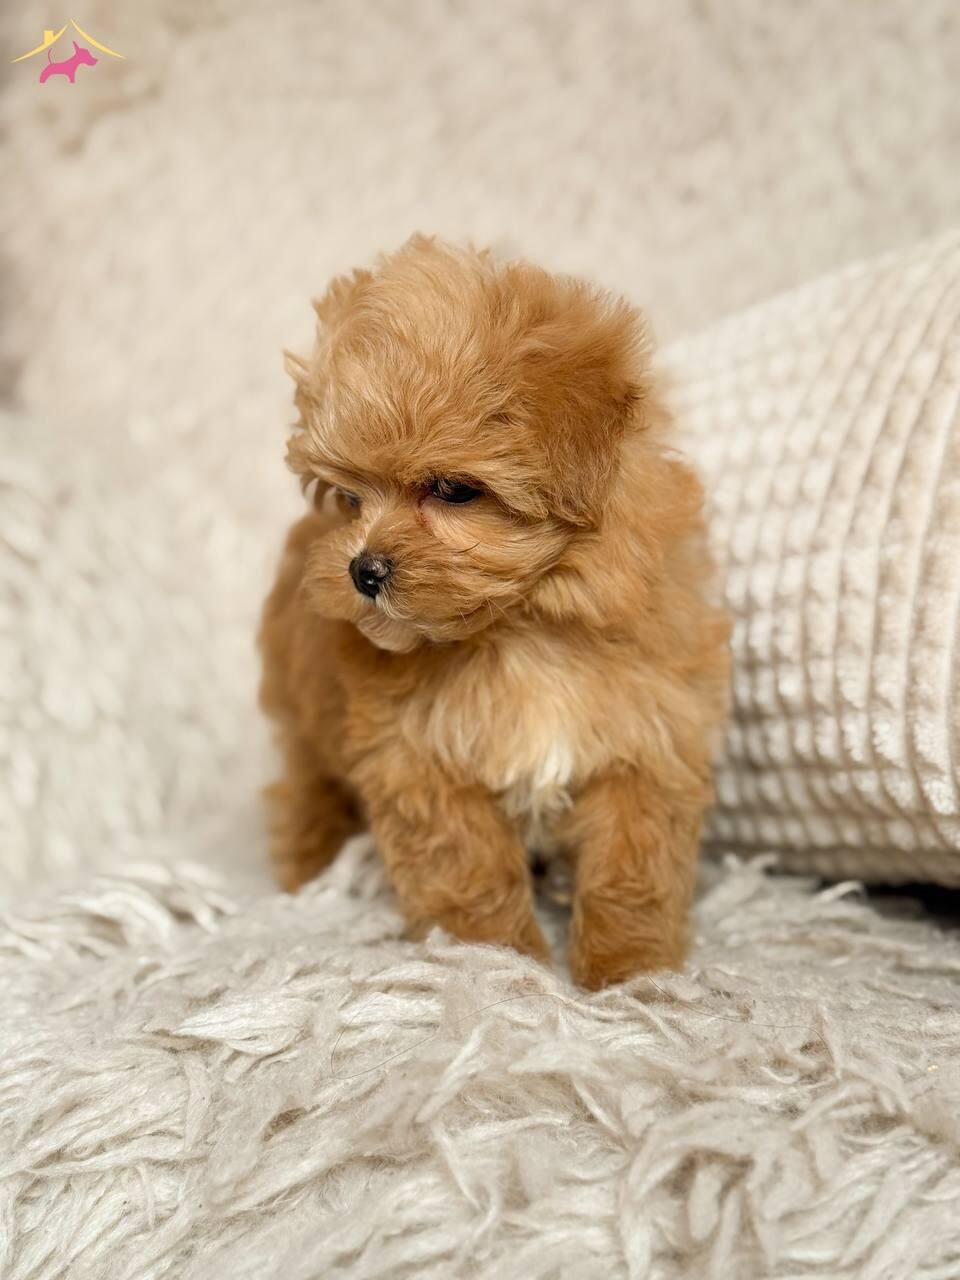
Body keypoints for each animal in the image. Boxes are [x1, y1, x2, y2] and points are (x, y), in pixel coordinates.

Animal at [259, 236, 729, 988]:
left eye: (453, 489)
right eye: (351, 500)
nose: (362, 570)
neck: (519, 629)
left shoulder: (648, 738)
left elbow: (632, 866)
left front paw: (631, 973)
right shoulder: (421, 760)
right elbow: (467, 867)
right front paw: (494, 962)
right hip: (303, 722)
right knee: (303, 789)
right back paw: (309, 867)